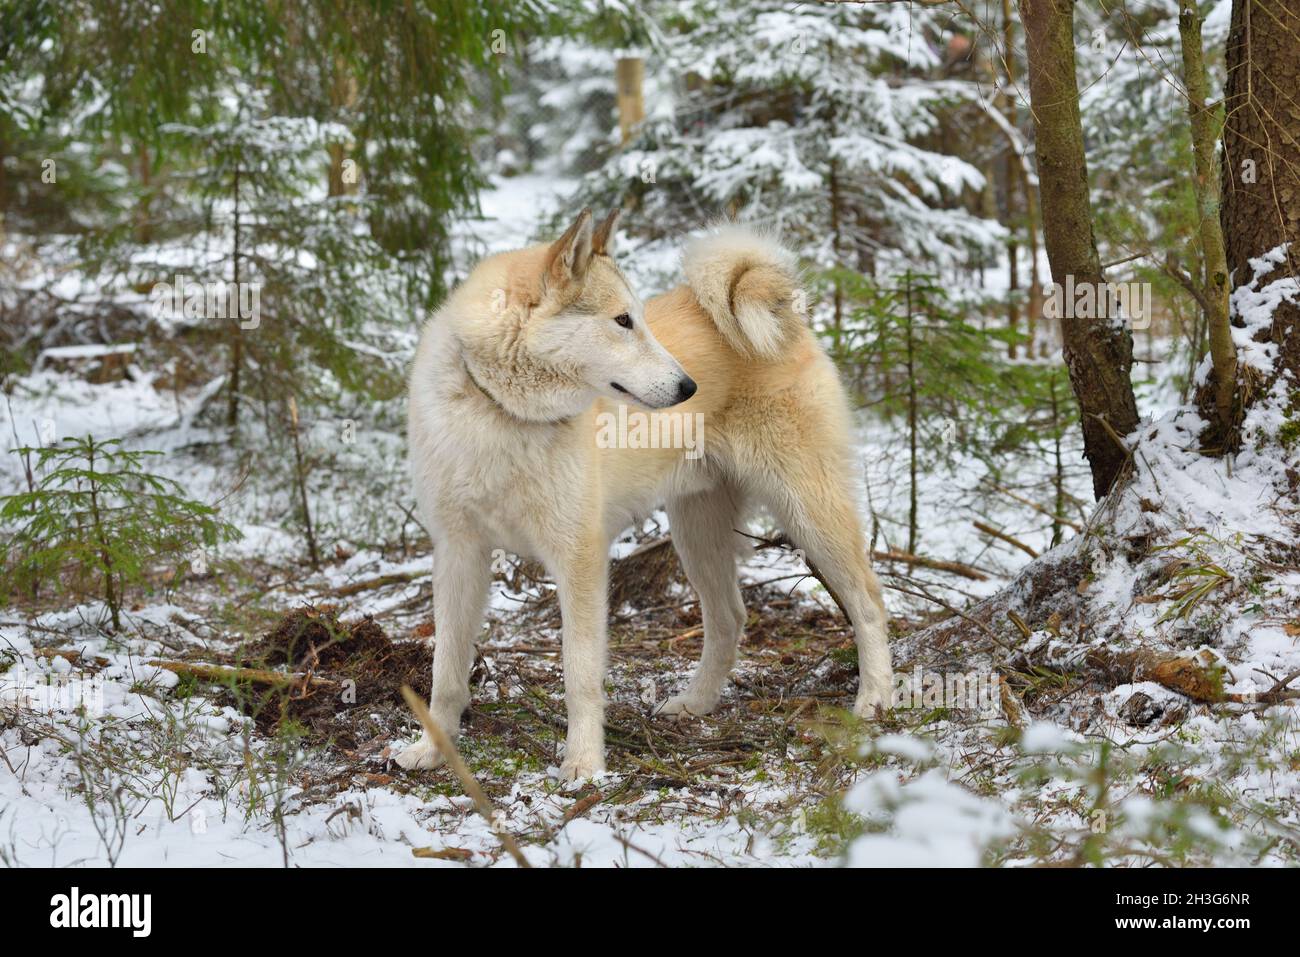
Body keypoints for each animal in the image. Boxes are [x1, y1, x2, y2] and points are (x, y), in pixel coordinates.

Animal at [400, 209, 889, 780]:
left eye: (638, 318)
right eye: (622, 321)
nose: (688, 388)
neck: (501, 413)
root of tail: (784, 315)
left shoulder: (580, 560)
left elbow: (580, 673)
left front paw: (583, 764)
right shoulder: (459, 554)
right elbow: (445, 670)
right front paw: (434, 749)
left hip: (807, 512)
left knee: (869, 601)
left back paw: (875, 699)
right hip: (696, 533)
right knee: (730, 619)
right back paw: (695, 703)